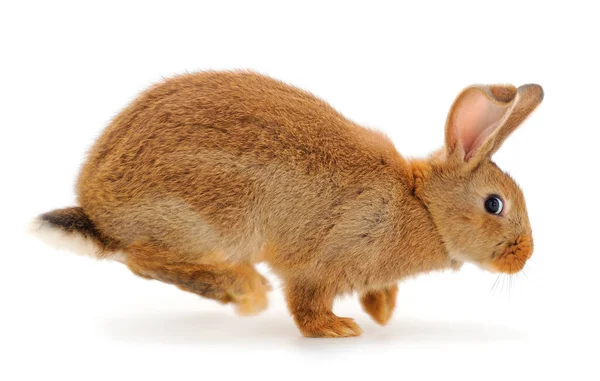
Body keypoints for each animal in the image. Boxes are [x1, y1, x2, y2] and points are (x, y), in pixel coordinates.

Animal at [32, 70, 544, 336]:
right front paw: (337, 329)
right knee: (143, 259)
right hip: (212, 215)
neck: (423, 208)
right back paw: (243, 289)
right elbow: (305, 302)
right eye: (494, 205)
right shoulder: (326, 260)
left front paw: (381, 311)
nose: (525, 256)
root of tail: (98, 213)